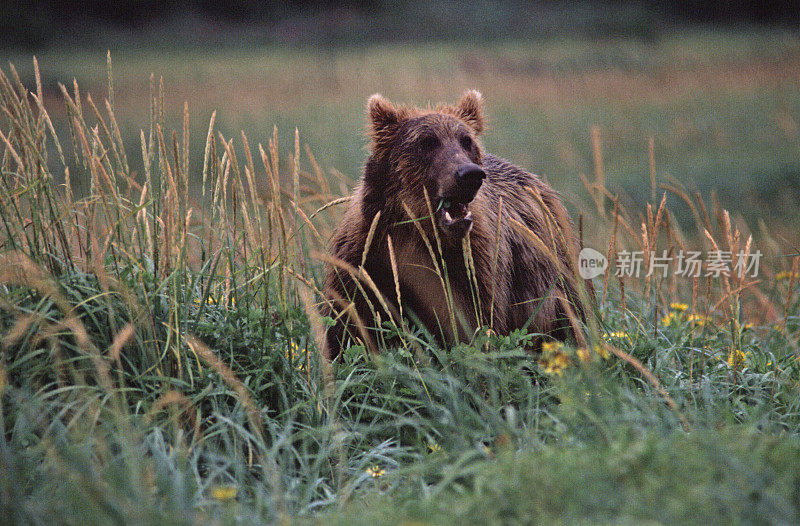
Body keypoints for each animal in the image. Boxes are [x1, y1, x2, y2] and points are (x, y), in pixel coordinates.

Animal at [322, 91, 592, 360]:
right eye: (427, 142)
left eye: (466, 140)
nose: (470, 174)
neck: (418, 233)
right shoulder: (365, 259)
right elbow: (348, 329)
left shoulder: (473, 264)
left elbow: (476, 324)